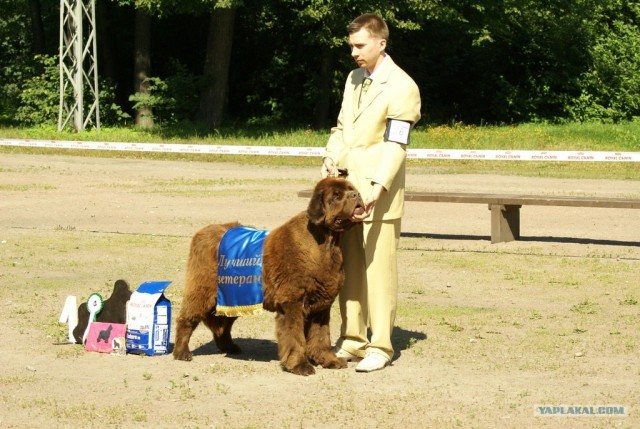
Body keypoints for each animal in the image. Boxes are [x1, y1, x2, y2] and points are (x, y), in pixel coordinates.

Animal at [174, 177, 364, 374]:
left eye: (351, 189)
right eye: (336, 196)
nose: (356, 195)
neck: (326, 244)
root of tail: (201, 232)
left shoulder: (321, 306)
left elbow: (321, 337)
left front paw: (329, 360)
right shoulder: (292, 303)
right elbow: (295, 337)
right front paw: (299, 365)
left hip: (234, 297)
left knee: (223, 324)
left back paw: (229, 347)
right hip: (203, 291)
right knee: (186, 319)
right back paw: (181, 352)